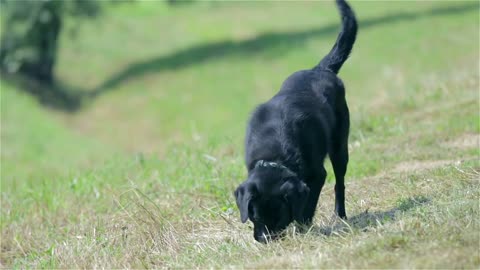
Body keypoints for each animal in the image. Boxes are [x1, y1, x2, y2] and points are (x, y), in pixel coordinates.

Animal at [233, 0, 356, 244]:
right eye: (254, 216)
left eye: (279, 218)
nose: (264, 239)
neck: (274, 156)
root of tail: (320, 69)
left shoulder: (317, 175)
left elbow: (307, 206)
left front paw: (303, 226)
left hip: (340, 147)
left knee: (340, 182)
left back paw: (340, 215)